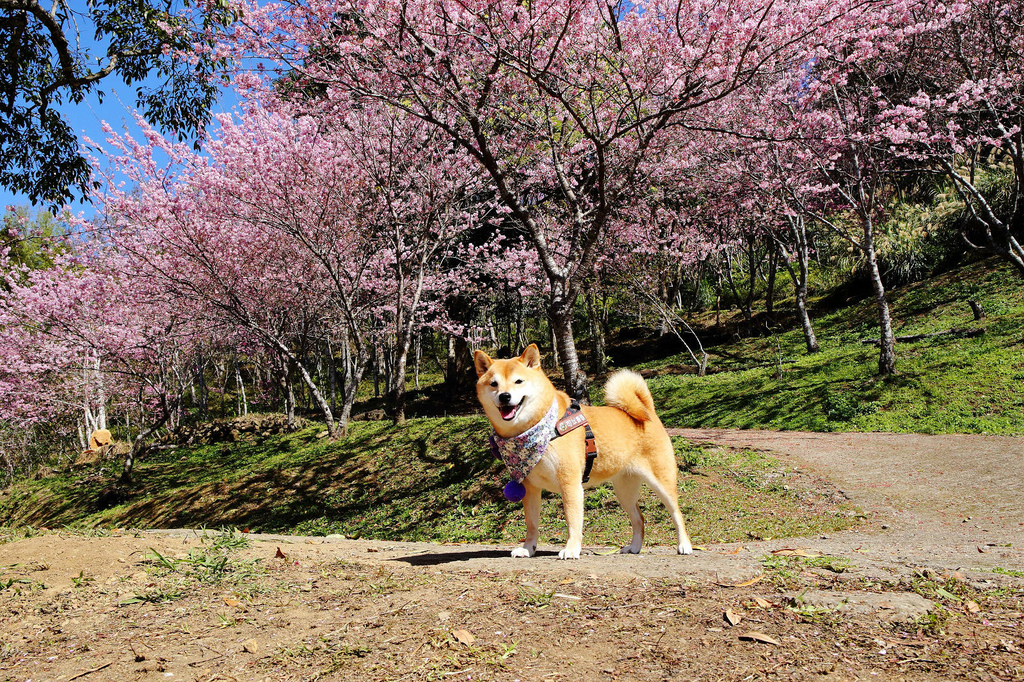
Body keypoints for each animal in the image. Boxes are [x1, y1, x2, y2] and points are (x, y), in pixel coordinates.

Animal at [475, 346, 692, 557]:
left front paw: (571, 549)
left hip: (661, 482)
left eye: (518, 381)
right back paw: (634, 547)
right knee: (639, 518)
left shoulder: (570, 483)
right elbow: (532, 524)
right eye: (494, 384)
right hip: (624, 491)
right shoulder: (530, 488)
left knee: (677, 514)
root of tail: (649, 412)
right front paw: (528, 548)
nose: (505, 396)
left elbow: (572, 521)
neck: (539, 428)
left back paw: (684, 545)